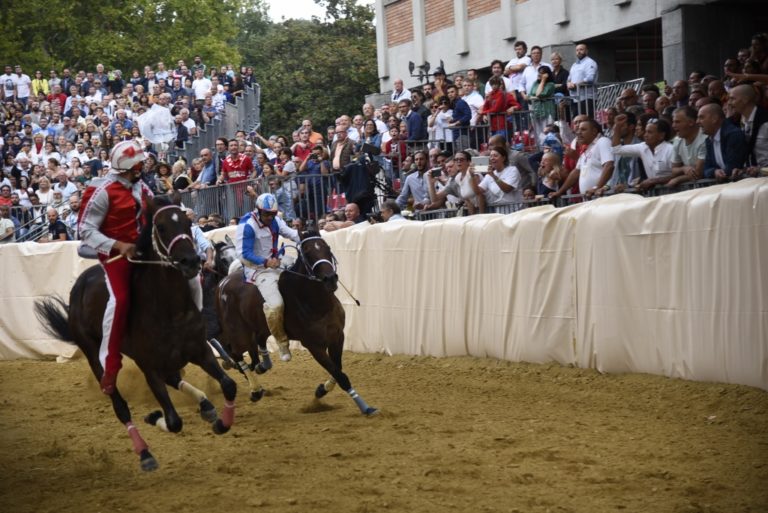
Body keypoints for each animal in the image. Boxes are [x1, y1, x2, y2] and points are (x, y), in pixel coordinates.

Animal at [35, 194, 237, 470]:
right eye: (160, 227)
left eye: (188, 222)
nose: (191, 262)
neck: (170, 309)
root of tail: (79, 285)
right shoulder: (149, 366)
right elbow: (173, 421)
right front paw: (153, 416)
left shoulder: (199, 350)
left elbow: (229, 384)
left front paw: (221, 422)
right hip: (95, 354)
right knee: (120, 405)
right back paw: (145, 452)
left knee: (174, 378)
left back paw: (206, 405)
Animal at [214, 230, 376, 414]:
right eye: (306, 251)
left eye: (327, 248)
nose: (330, 279)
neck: (317, 305)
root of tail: (224, 282)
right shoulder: (314, 345)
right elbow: (340, 375)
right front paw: (365, 407)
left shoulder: (337, 336)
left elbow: (338, 369)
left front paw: (322, 389)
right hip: (238, 332)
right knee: (236, 353)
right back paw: (255, 390)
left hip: (259, 326)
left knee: (257, 346)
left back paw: (263, 366)